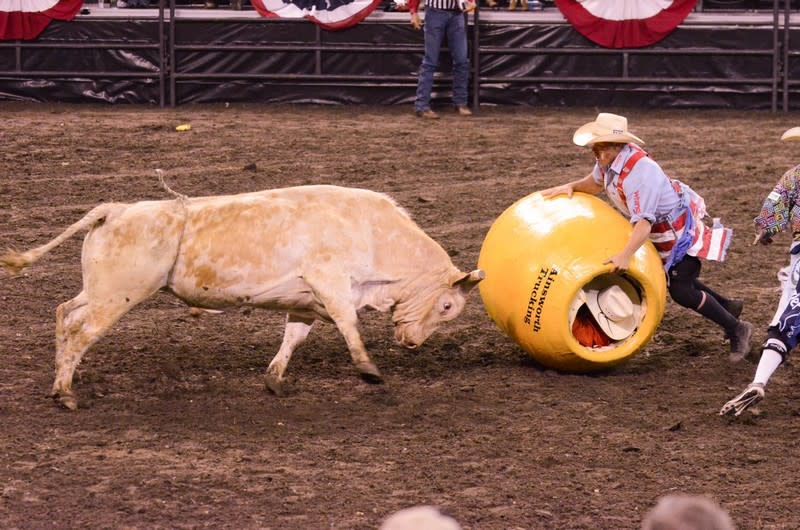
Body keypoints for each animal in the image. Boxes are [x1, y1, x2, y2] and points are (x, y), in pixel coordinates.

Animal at [3, 182, 484, 408]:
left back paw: (61, 380)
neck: (375, 233)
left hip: (99, 289)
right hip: (117, 296)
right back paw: (65, 392)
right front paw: (369, 370)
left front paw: (274, 379)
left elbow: (293, 338)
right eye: (447, 305)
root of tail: (114, 210)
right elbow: (350, 324)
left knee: (65, 313)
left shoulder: (307, 302)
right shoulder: (331, 283)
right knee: (81, 331)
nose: (412, 343)